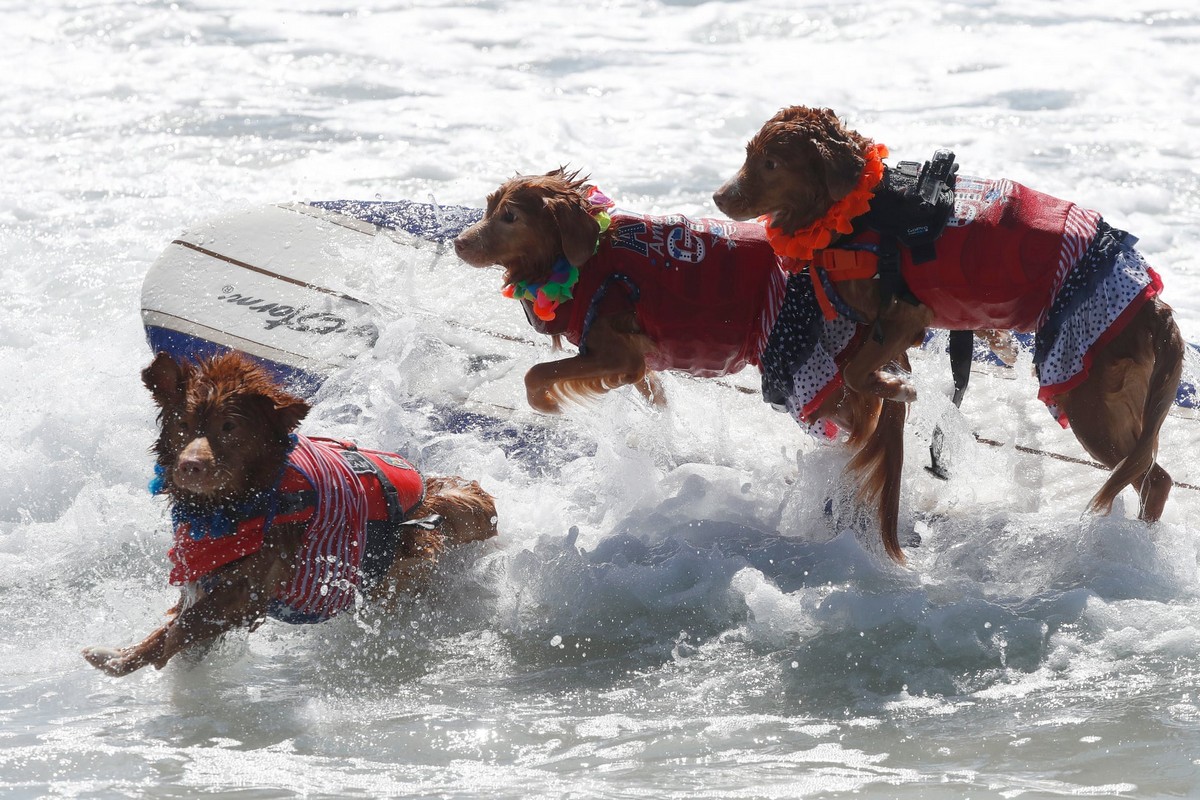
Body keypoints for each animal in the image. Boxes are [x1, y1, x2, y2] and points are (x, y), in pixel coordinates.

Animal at [83, 352, 496, 676]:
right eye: (183, 424)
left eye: (229, 427)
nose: (190, 466)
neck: (238, 504)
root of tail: (430, 496)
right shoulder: (205, 570)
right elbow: (176, 624)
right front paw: (123, 656)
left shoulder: (250, 586)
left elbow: (183, 628)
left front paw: (147, 658)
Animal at [453, 169, 912, 561]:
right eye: (489, 207)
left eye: (510, 216)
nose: (459, 241)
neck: (587, 259)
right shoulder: (634, 363)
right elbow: (654, 395)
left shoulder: (615, 353)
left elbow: (536, 375)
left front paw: (549, 403)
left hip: (801, 373)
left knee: (867, 412)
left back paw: (886, 402)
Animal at [710, 106, 1180, 525]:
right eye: (749, 155)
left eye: (771, 164)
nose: (718, 196)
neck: (861, 208)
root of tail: (1155, 308)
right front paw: (998, 345)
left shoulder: (906, 317)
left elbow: (855, 374)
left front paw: (898, 388)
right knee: (1149, 473)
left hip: (1090, 406)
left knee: (1154, 478)